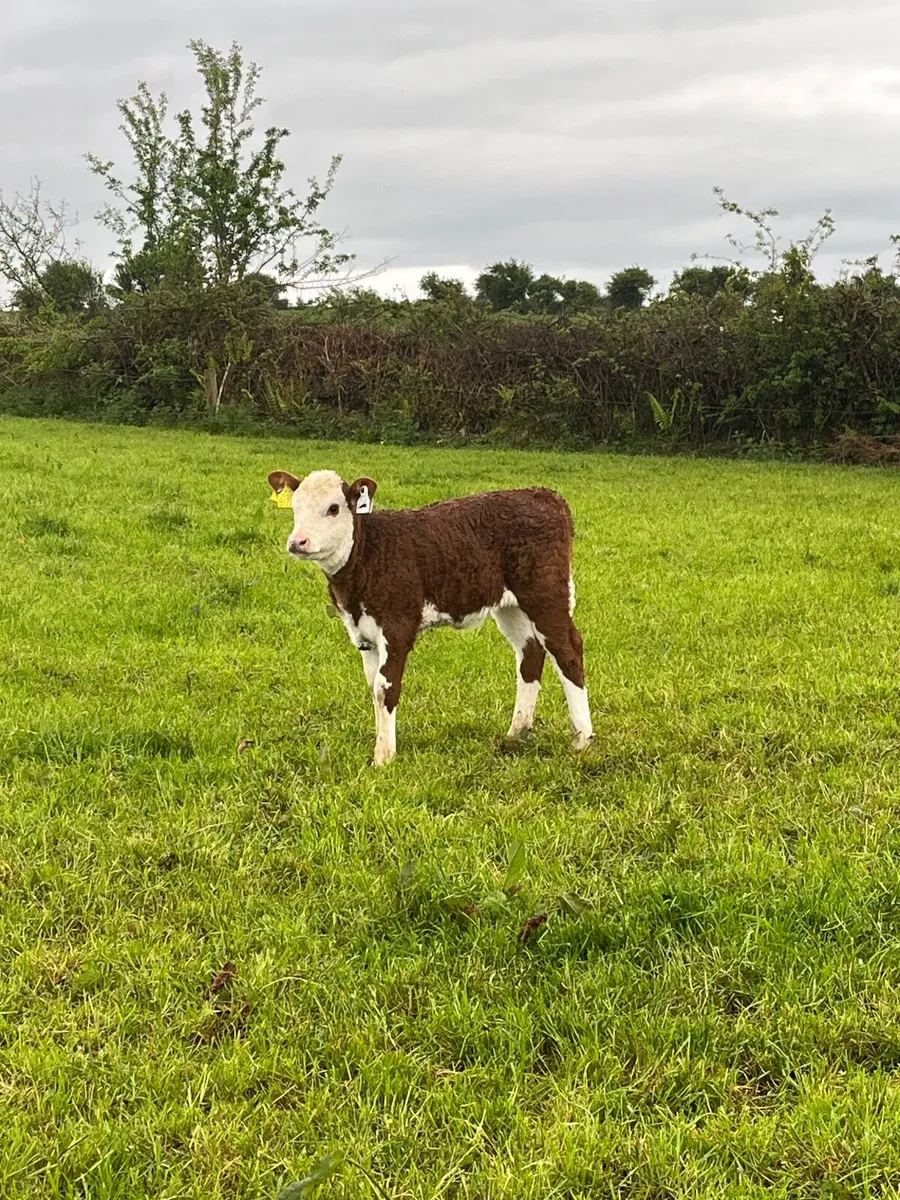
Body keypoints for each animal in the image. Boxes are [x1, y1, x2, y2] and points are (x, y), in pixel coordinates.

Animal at [268, 468, 593, 765]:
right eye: (295, 506)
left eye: (333, 508)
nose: (298, 542)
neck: (369, 555)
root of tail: (543, 494)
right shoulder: (363, 633)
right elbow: (373, 685)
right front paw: (382, 745)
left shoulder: (398, 626)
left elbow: (386, 687)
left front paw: (384, 757)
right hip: (510, 606)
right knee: (530, 652)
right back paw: (516, 733)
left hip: (546, 594)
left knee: (567, 650)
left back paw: (582, 740)